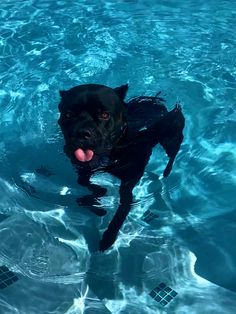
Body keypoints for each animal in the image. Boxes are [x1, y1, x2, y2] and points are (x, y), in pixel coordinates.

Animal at [58, 84, 185, 251]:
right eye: (68, 114)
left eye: (105, 115)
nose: (82, 133)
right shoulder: (83, 169)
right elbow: (84, 184)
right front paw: (98, 199)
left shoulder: (129, 181)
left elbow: (122, 210)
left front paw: (109, 237)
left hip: (171, 138)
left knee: (173, 153)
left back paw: (166, 171)